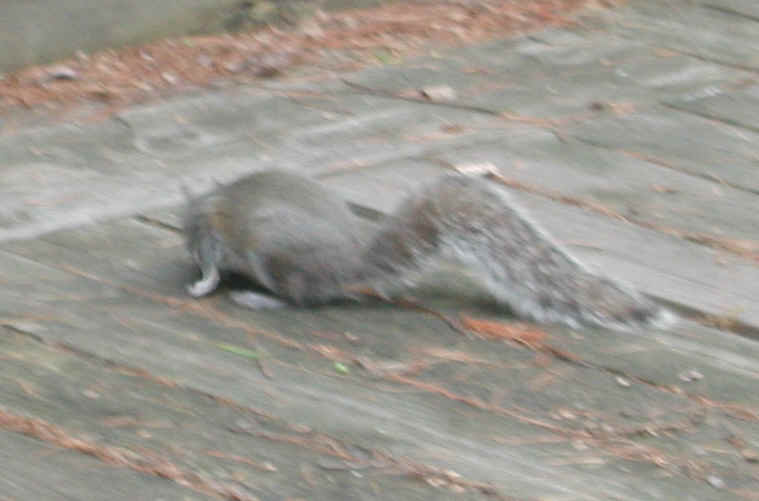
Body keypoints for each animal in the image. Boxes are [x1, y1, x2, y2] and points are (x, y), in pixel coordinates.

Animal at [183, 169, 672, 330]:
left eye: (184, 229)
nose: (184, 251)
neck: (209, 200)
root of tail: (348, 261)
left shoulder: (212, 233)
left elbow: (211, 263)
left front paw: (203, 283)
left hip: (274, 253)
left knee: (304, 298)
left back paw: (261, 299)